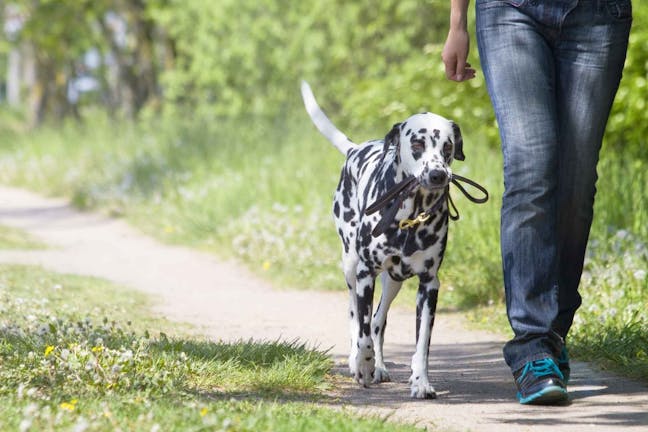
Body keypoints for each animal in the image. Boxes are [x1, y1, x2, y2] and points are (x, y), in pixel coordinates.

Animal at [302, 80, 464, 398]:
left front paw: (421, 381)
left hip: (394, 281)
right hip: (351, 267)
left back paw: (379, 365)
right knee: (356, 317)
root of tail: (355, 149)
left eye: (448, 146)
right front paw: (362, 365)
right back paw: (359, 361)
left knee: (378, 321)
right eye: (417, 145)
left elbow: (422, 344)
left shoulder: (429, 285)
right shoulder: (366, 275)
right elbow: (362, 332)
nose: (438, 175)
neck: (411, 216)